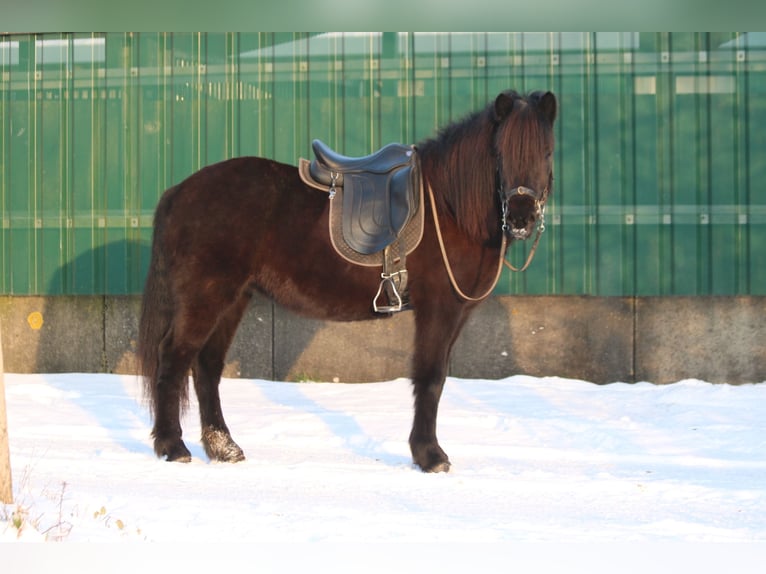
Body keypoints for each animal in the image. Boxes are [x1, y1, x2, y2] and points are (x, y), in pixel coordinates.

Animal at [137, 89, 557, 473]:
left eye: (547, 153)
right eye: (500, 154)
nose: (521, 218)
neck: (449, 206)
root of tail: (179, 191)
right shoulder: (438, 309)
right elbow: (431, 378)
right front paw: (430, 455)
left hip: (234, 299)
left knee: (207, 366)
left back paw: (224, 448)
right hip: (205, 298)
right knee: (173, 359)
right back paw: (173, 447)